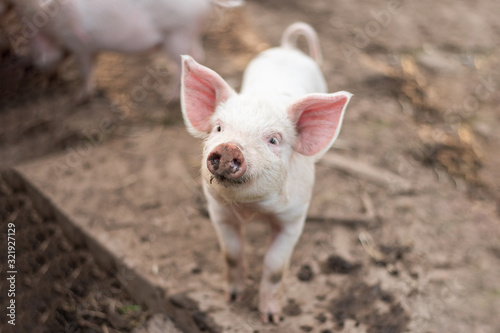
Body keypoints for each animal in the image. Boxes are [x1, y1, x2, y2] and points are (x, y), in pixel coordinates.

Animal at [12, 0, 243, 101]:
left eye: (34, 51)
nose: (28, 68)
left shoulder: (80, 45)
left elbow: (85, 71)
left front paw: (79, 97)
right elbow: (92, 68)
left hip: (178, 35)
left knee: (182, 66)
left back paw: (166, 97)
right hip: (187, 36)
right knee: (198, 57)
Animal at [181, 21, 352, 322]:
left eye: (273, 140)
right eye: (219, 128)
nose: (229, 147)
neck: (252, 210)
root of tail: (288, 48)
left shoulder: (294, 217)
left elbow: (275, 266)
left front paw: (271, 318)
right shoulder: (218, 210)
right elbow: (231, 253)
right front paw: (231, 299)